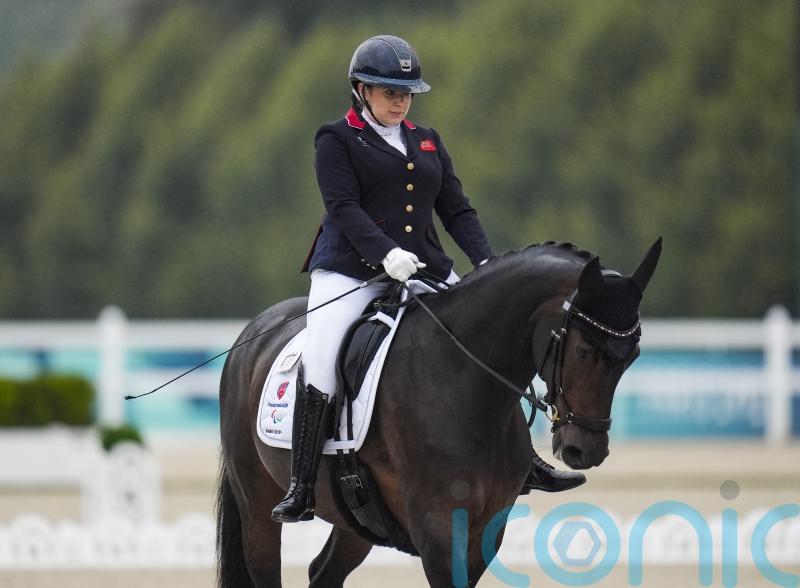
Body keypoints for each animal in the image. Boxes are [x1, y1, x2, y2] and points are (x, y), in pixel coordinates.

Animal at [216, 239, 662, 587]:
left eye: (633, 354)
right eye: (584, 350)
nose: (585, 450)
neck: (462, 375)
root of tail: (250, 334)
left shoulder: (487, 530)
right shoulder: (438, 529)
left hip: (355, 519)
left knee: (322, 574)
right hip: (258, 511)